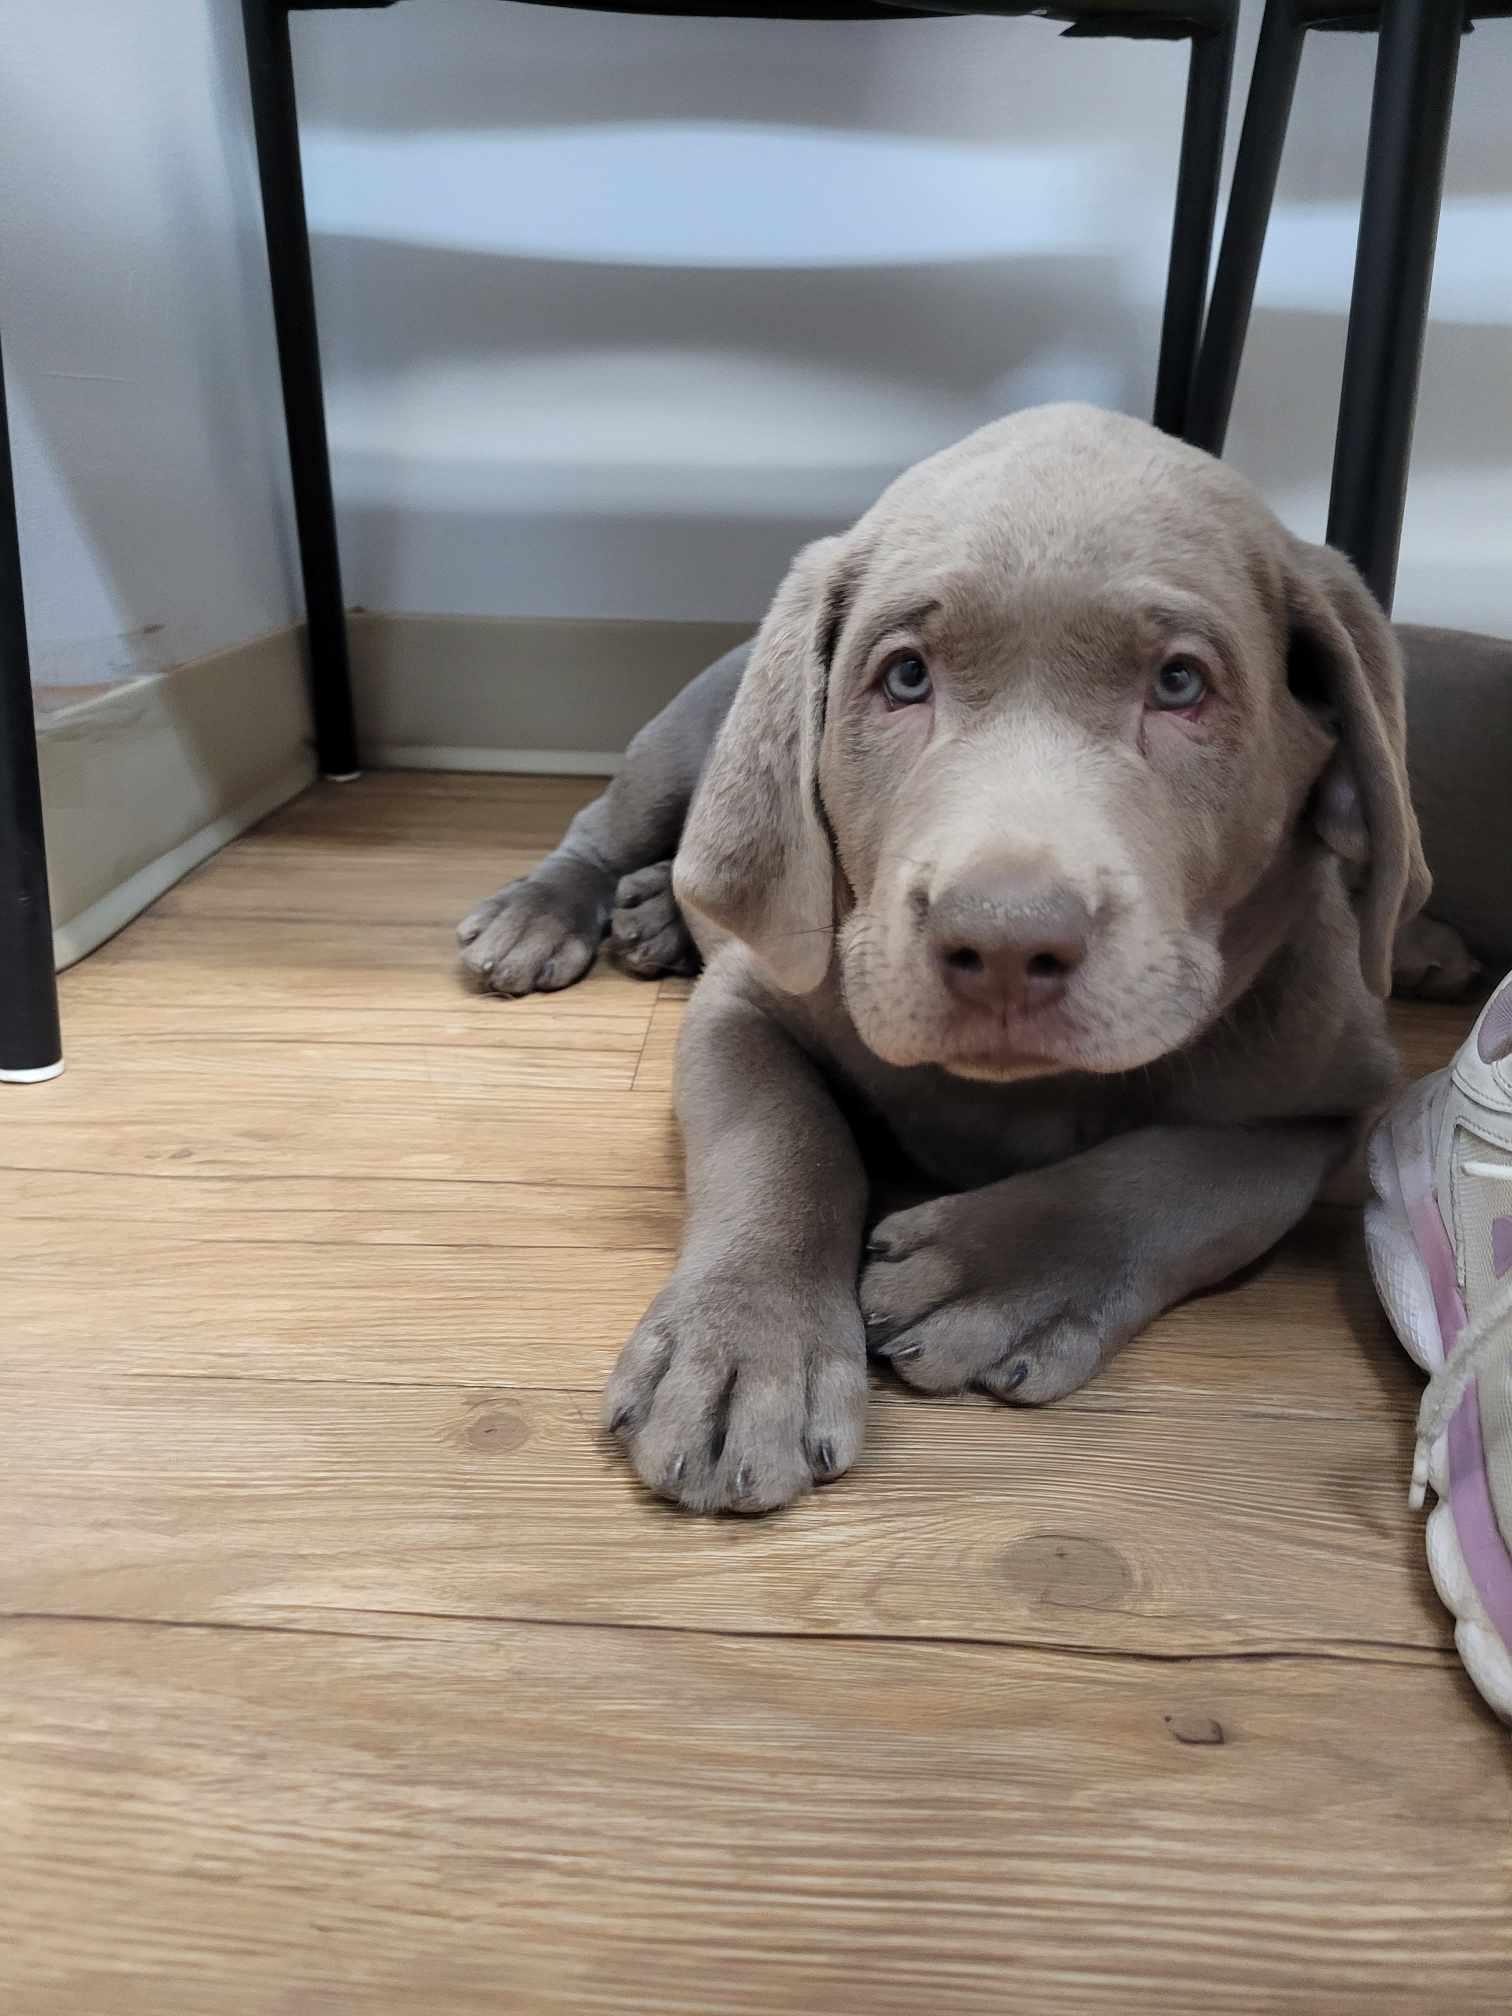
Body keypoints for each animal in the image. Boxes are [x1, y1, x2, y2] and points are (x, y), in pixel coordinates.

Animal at [459, 405, 1435, 1516]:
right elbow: (780, 1143)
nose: (1005, 942)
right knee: (609, 823)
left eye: (1180, 682)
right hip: (686, 737)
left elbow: (1185, 1172)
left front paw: (993, 1274)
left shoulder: (1326, 1103)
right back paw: (542, 916)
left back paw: (657, 913)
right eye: (905, 676)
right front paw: (742, 1352)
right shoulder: (745, 1009)